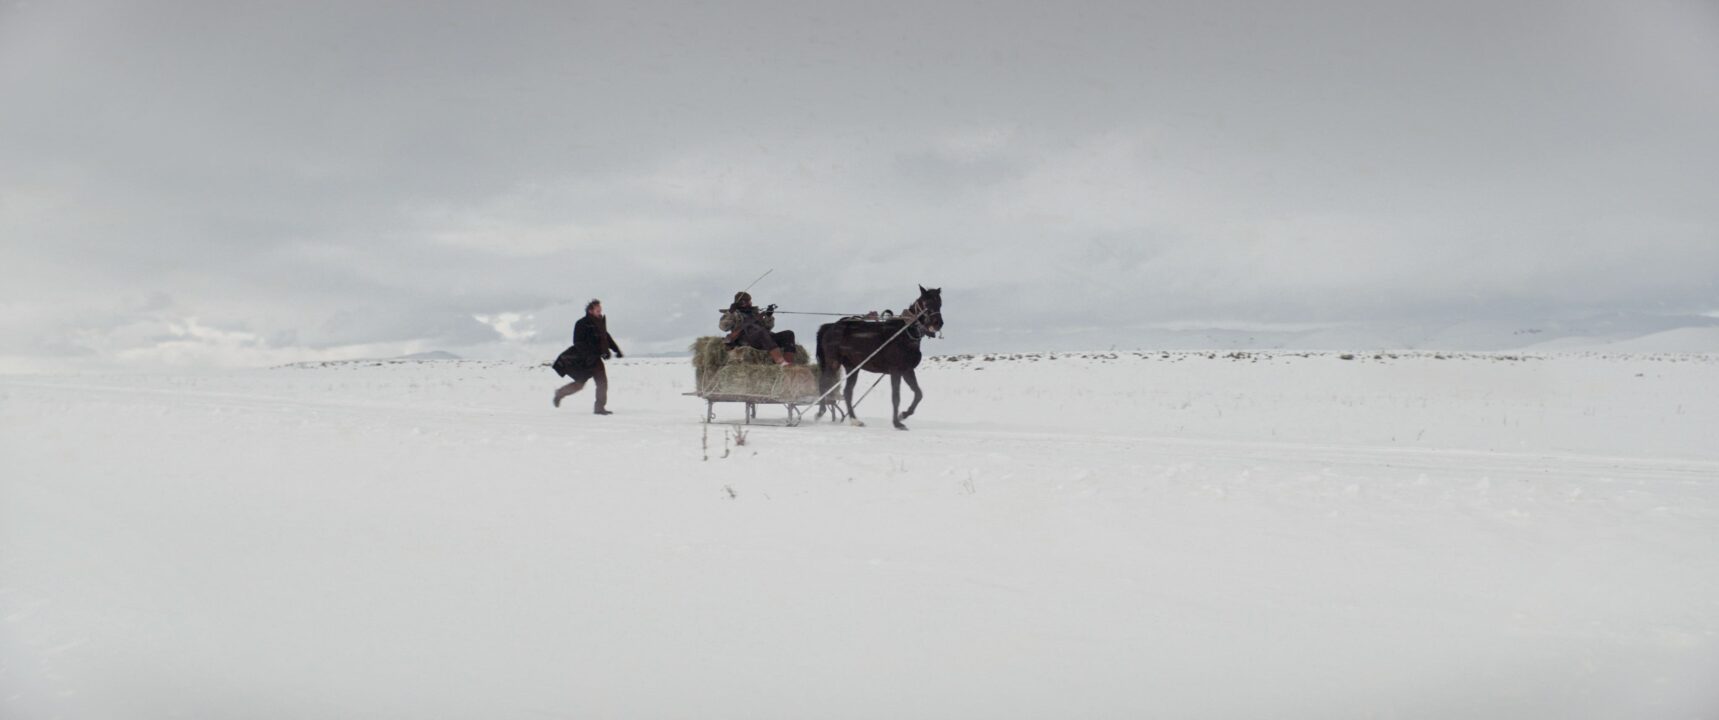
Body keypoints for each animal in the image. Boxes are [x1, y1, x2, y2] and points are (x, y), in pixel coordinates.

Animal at [814, 286, 948, 431]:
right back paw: (820, 413)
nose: (937, 323)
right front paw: (897, 423)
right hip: (833, 362)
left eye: (940, 303)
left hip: (852, 367)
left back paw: (855, 420)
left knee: (847, 392)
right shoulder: (895, 371)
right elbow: (896, 397)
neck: (904, 333)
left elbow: (918, 394)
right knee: (824, 384)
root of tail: (830, 326)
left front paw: (903, 414)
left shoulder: (907, 371)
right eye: (925, 302)